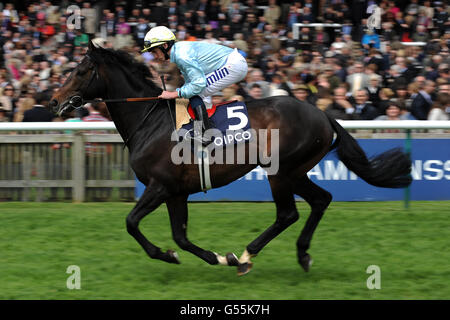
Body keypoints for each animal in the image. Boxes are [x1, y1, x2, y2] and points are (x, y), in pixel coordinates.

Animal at [48, 42, 412, 276]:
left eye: (81, 70)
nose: (54, 100)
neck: (151, 120)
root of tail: (323, 114)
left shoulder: (159, 186)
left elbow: (131, 222)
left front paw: (168, 255)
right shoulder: (176, 192)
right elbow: (180, 236)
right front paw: (214, 258)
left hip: (281, 171)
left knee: (288, 213)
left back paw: (247, 255)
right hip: (297, 171)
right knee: (321, 200)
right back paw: (301, 254)